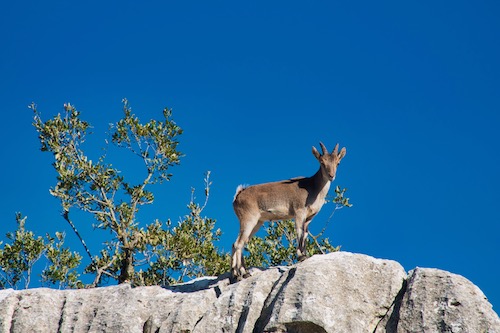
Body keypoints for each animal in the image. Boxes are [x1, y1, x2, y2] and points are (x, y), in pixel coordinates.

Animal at [230, 142, 344, 280]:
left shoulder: (309, 217)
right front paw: (301, 256)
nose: (331, 176)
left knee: (239, 243)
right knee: (238, 244)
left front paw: (305, 254)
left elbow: (305, 233)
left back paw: (239, 273)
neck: (313, 187)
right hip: (248, 219)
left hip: (257, 222)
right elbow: (299, 231)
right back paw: (239, 274)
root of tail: (238, 196)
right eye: (322, 162)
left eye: (338, 163)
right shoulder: (299, 212)